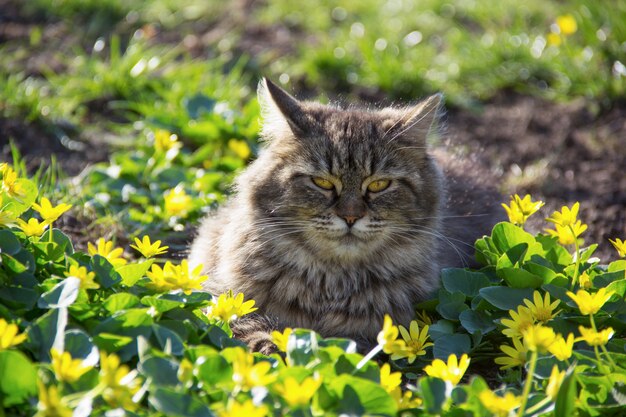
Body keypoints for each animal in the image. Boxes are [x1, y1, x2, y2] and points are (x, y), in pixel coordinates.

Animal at [188, 77, 500, 352]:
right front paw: (270, 344)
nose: (350, 217)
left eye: (378, 185)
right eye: (322, 183)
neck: (331, 283)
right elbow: (239, 322)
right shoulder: (219, 291)